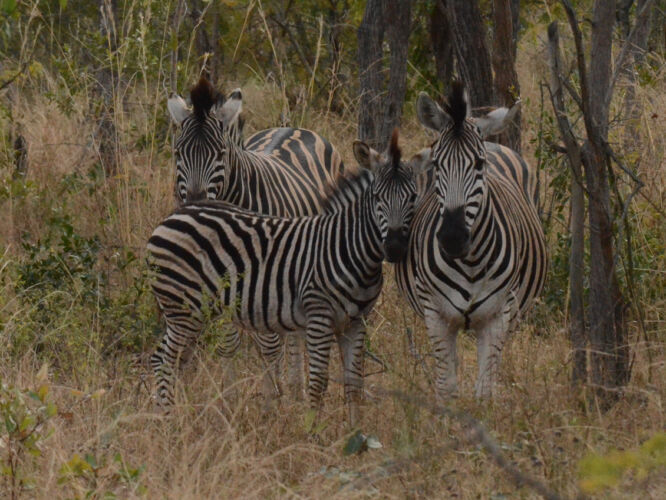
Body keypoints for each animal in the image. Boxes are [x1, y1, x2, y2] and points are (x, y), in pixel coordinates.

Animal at [147, 130, 417, 426]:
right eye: (377, 197)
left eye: (414, 197)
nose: (395, 248)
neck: (346, 246)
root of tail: (172, 216)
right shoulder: (318, 315)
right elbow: (318, 381)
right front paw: (312, 430)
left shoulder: (356, 321)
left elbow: (354, 384)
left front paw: (354, 432)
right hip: (182, 308)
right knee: (166, 361)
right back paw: (169, 420)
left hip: (192, 312)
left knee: (167, 359)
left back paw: (170, 416)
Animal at [167, 77, 348, 395]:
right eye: (178, 153)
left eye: (220, 153)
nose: (194, 204)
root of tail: (296, 127)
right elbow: (229, 343)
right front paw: (228, 396)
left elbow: (270, 345)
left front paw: (273, 396)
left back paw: (294, 386)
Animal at [396, 82, 547, 400]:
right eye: (437, 165)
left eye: (479, 165)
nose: (452, 238)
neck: (470, 262)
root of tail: (492, 141)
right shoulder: (435, 315)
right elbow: (446, 388)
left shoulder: (498, 317)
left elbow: (484, 392)